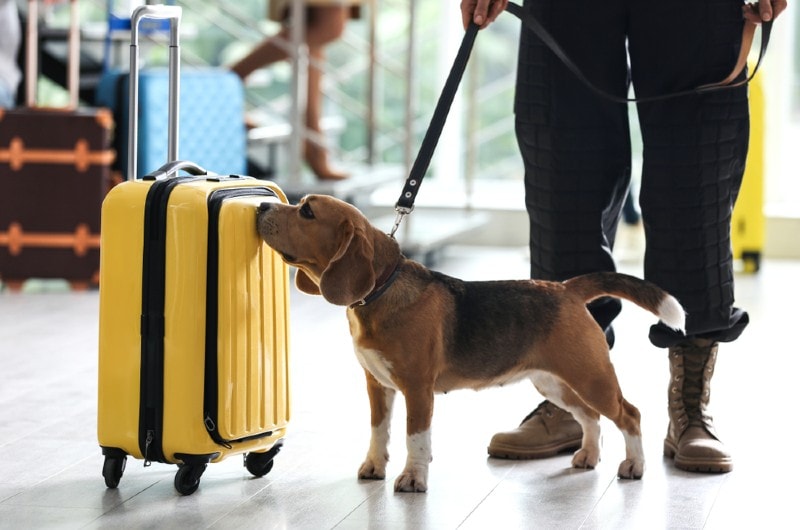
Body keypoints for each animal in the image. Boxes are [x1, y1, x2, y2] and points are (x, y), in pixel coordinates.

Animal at [255, 194, 680, 490]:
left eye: (307, 212)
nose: (261, 205)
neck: (381, 291)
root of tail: (565, 288)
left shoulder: (417, 389)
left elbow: (415, 439)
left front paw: (413, 479)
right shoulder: (377, 385)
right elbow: (379, 431)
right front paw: (374, 466)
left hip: (591, 377)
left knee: (629, 414)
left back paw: (635, 466)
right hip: (555, 383)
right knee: (590, 417)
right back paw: (589, 456)